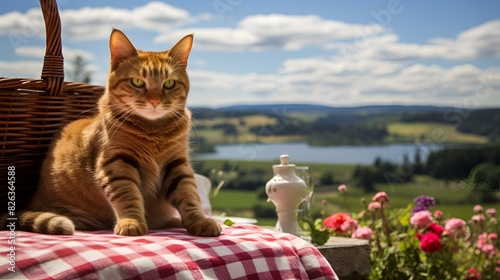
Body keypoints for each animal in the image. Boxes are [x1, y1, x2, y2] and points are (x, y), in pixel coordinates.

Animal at [9, 30, 220, 236]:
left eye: (169, 84)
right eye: (137, 81)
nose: (154, 101)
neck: (153, 131)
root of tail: (31, 202)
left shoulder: (176, 164)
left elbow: (189, 194)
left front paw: (199, 221)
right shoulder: (116, 163)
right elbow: (128, 194)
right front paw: (131, 222)